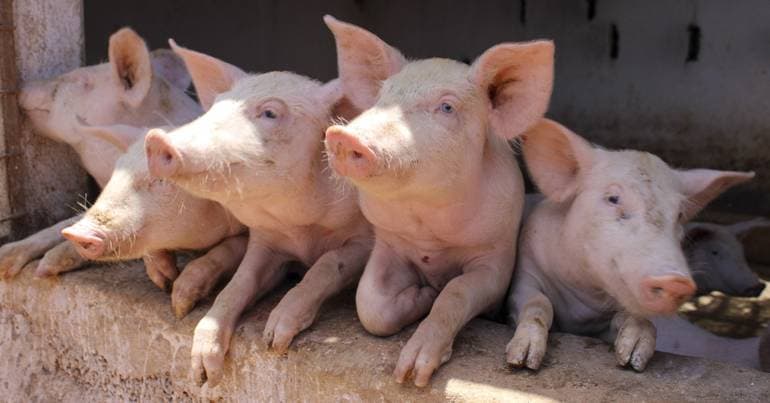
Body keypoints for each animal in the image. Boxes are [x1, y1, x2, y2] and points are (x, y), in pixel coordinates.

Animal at [60, 125, 247, 317]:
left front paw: (179, 308)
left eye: (161, 180)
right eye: (115, 175)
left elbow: (228, 249)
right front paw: (165, 281)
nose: (74, 233)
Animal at [143, 40, 371, 386]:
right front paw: (203, 375)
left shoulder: (365, 240)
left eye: (270, 113)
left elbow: (328, 264)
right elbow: (240, 282)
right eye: (216, 107)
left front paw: (274, 341)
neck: (300, 227)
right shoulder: (266, 240)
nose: (157, 139)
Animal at [322, 16, 554, 387]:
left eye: (446, 107)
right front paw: (424, 294)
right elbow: (368, 302)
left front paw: (411, 375)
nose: (342, 135)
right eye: (383, 96)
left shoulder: (496, 258)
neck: (428, 228)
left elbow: (456, 292)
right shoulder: (388, 242)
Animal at [506, 119, 754, 372]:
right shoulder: (527, 272)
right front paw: (523, 359)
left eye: (679, 214)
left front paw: (633, 358)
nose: (676, 281)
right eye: (613, 199)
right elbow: (537, 304)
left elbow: (635, 318)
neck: (585, 296)